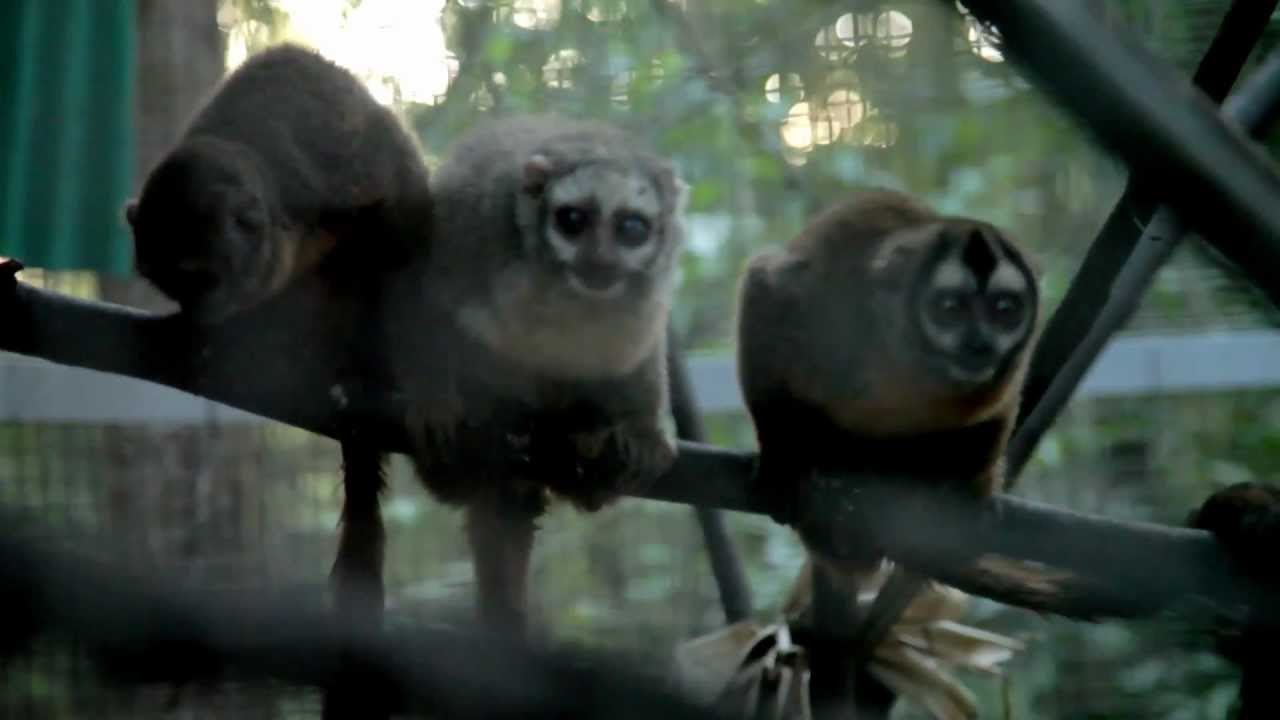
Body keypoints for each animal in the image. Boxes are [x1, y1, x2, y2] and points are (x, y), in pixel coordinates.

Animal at [381, 114, 688, 634]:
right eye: (572, 219)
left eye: (632, 227)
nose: (599, 262)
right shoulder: (469, 225)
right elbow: (424, 295)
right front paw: (434, 401)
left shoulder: (650, 291)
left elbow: (640, 349)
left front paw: (645, 430)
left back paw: (585, 443)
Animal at [735, 188, 1039, 712]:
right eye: (949, 308)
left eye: (1004, 309)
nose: (980, 344)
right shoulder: (823, 306)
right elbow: (765, 288)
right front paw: (781, 461)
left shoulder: (1002, 379)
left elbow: (997, 411)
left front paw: (974, 493)